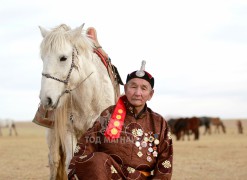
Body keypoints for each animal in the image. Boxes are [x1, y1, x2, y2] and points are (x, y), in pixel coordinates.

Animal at [37, 23, 121, 179]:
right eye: (42, 58)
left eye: (63, 58)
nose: (46, 99)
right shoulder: (68, 131)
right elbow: (70, 163)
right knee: (54, 161)